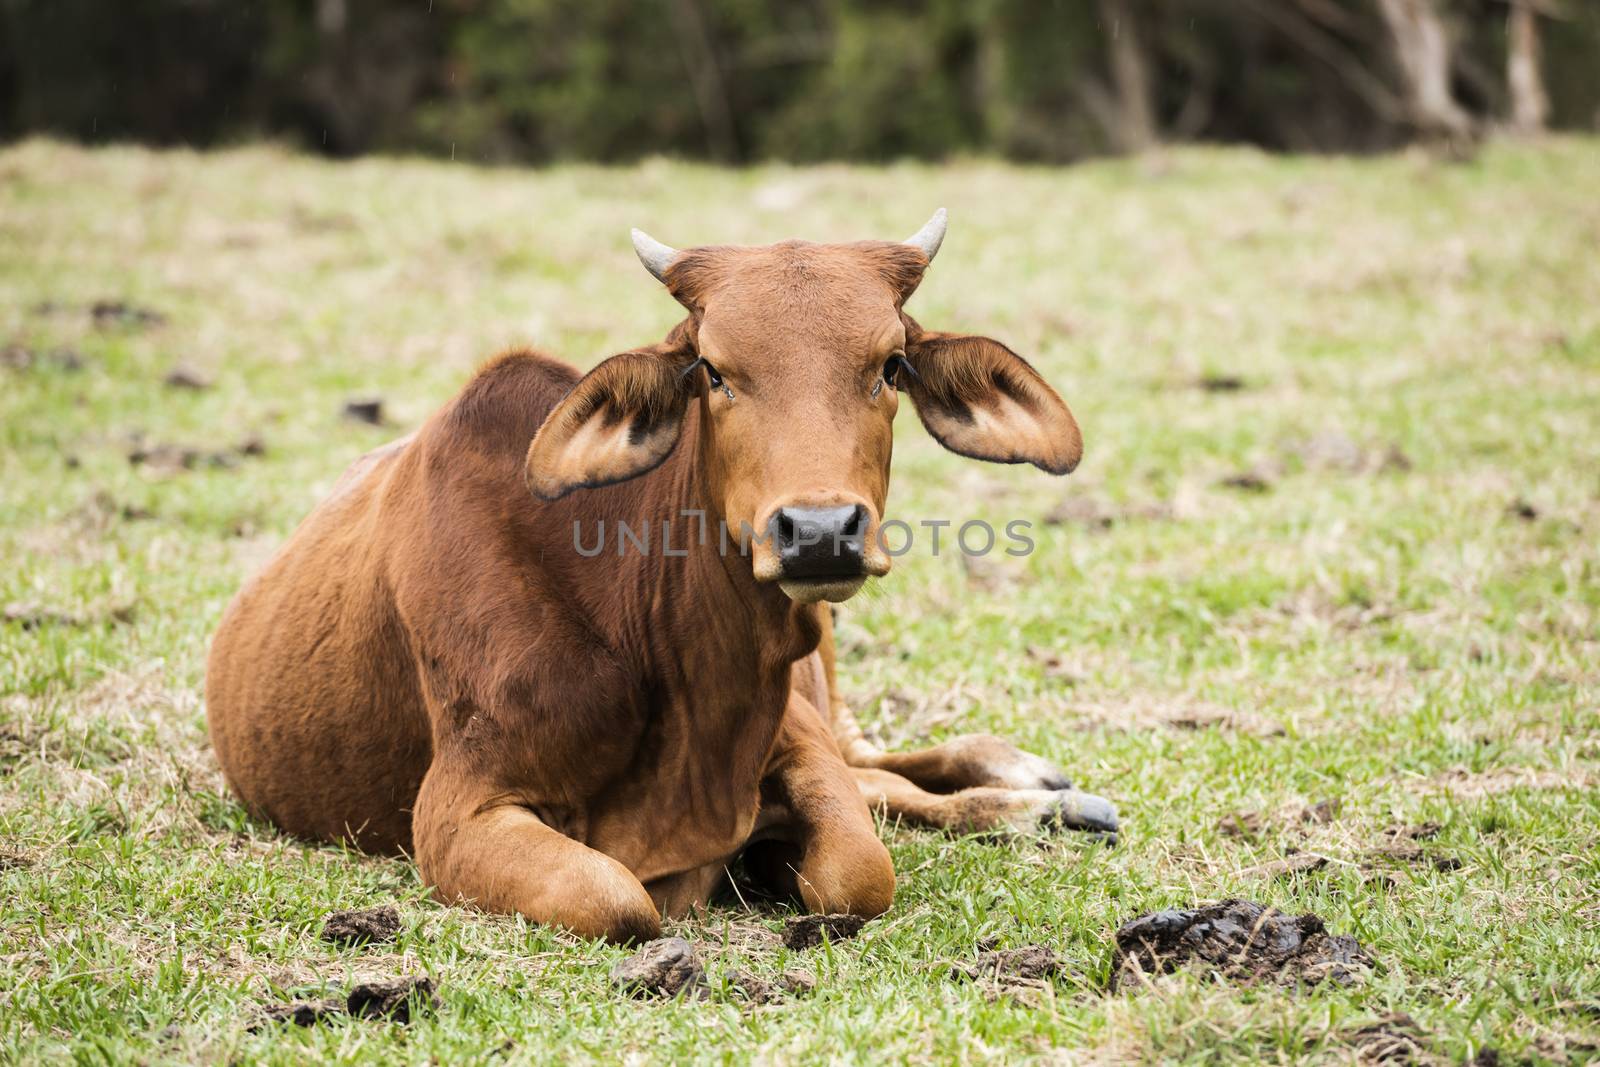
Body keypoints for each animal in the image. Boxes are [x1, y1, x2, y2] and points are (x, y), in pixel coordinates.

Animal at [206, 211, 1120, 940]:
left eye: (891, 366)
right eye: (713, 370)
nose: (819, 533)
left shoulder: (793, 732)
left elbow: (859, 869)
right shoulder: (458, 810)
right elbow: (619, 900)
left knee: (880, 763)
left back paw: (1037, 789)